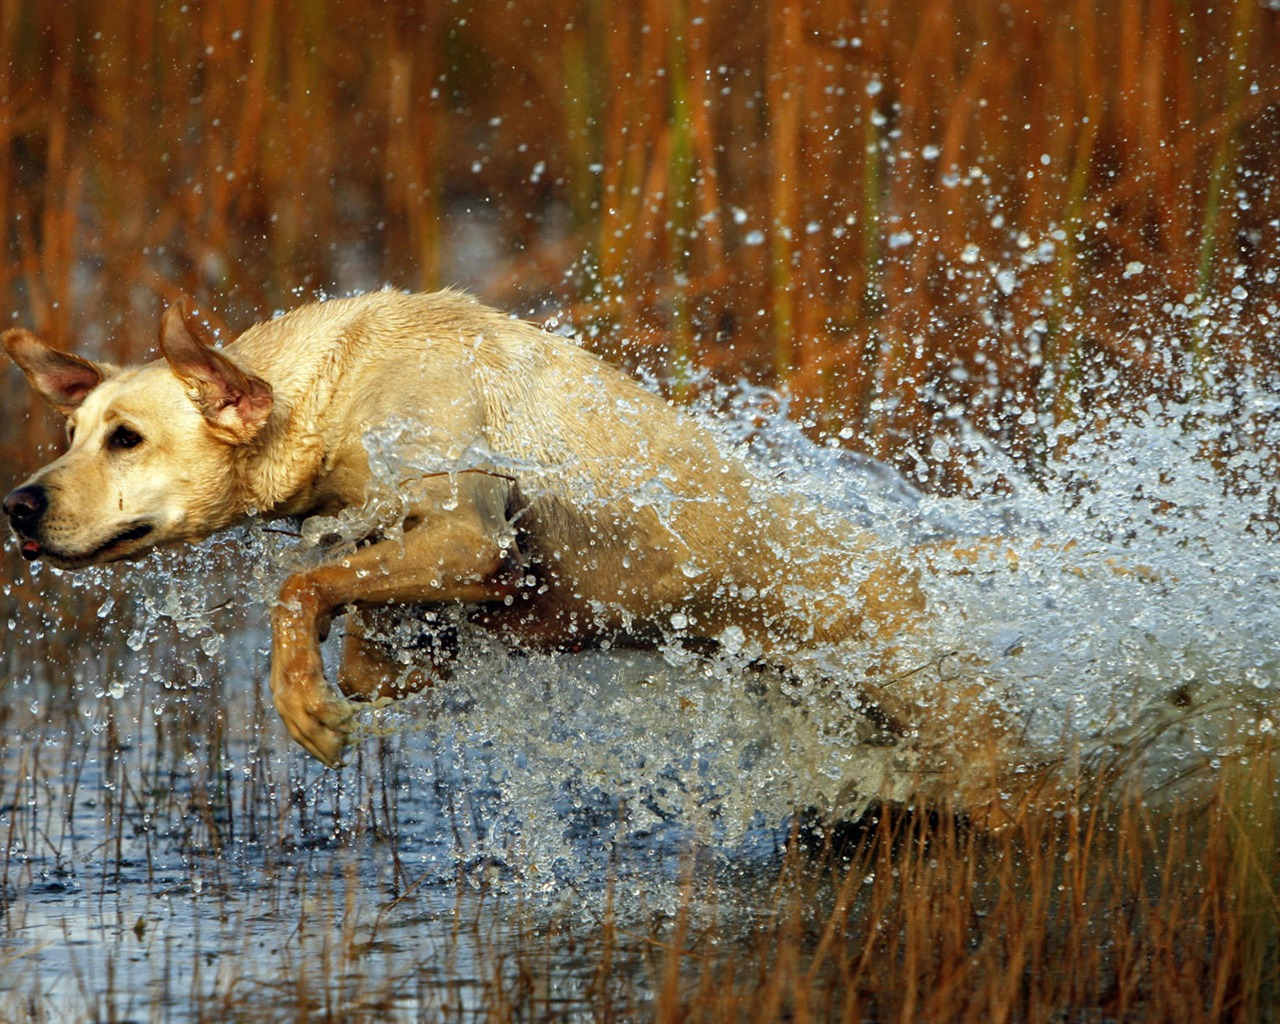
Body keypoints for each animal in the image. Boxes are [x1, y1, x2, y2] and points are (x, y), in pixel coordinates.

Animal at [2, 291, 931, 762]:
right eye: (71, 434)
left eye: (127, 439)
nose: (18, 505)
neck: (333, 392)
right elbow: (364, 637)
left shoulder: (469, 528)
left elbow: (300, 587)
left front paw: (301, 699)